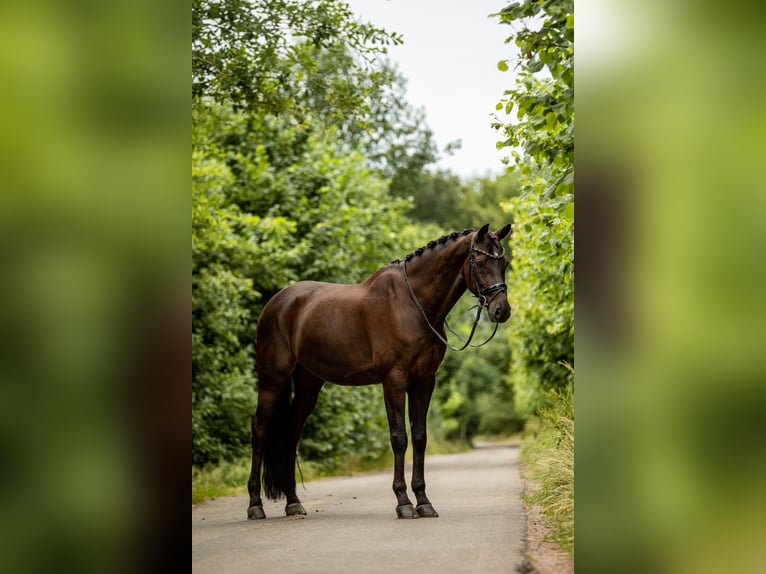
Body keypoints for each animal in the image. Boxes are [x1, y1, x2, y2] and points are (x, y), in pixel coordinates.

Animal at [247, 223, 512, 520]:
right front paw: (404, 503)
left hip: (308, 383)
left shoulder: (424, 381)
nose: (501, 311)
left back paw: (293, 502)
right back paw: (255, 505)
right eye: (481, 262)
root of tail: (276, 303)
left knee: (292, 433)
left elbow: (419, 437)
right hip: (273, 379)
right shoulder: (394, 380)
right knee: (260, 430)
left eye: (504, 263)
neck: (414, 303)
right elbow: (399, 438)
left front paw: (423, 501)